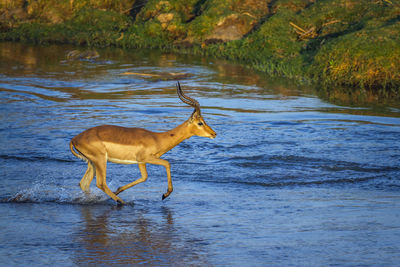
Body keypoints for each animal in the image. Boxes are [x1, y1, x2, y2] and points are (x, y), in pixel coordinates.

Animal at [70, 82, 217, 204]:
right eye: (200, 122)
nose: (214, 134)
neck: (157, 138)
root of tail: (74, 139)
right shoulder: (146, 158)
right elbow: (167, 163)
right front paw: (165, 194)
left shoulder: (141, 162)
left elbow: (144, 177)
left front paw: (118, 189)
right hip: (101, 161)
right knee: (100, 183)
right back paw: (121, 202)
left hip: (92, 163)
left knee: (84, 183)